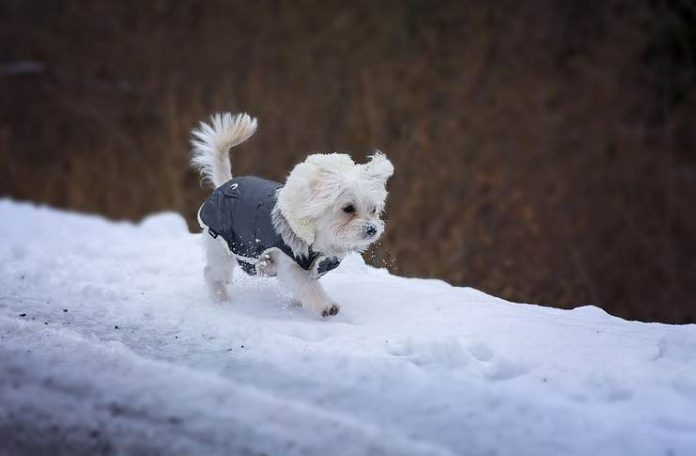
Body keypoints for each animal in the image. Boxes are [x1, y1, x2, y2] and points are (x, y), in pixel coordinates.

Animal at [190, 113, 394, 318]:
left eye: (373, 210)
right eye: (348, 208)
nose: (372, 229)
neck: (319, 239)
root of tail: (225, 185)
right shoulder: (291, 264)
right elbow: (308, 286)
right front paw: (326, 305)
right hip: (222, 246)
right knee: (212, 273)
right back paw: (221, 298)